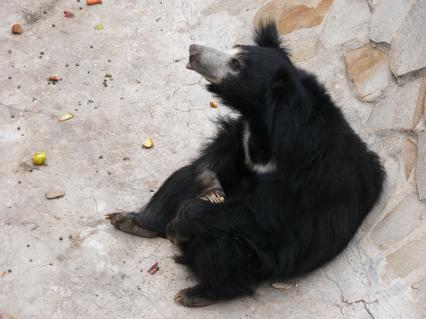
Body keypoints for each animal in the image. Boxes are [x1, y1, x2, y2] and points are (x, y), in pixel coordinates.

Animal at [105, 22, 382, 308]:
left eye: (236, 64)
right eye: (234, 49)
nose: (193, 50)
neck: (266, 121)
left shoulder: (305, 173)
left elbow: (264, 214)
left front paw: (181, 223)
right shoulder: (245, 136)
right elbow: (220, 154)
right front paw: (210, 187)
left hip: (258, 260)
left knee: (223, 247)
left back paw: (199, 292)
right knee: (179, 180)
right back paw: (132, 221)